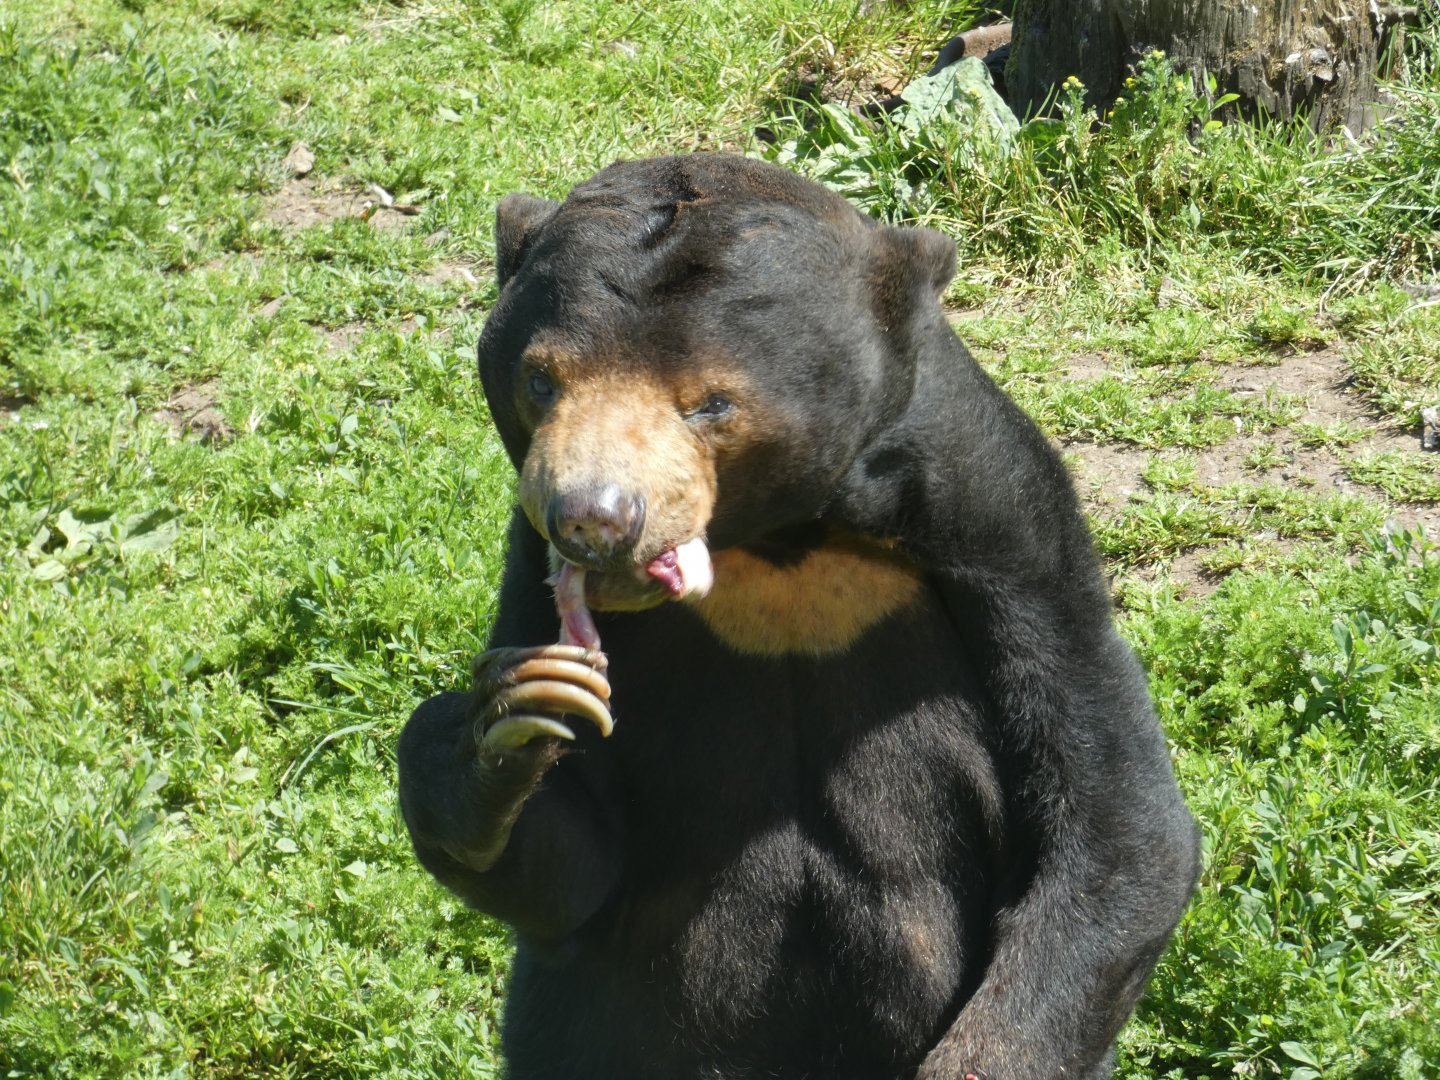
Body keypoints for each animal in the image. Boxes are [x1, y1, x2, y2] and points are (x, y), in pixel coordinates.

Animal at [397, 153, 1200, 1080]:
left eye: (711, 403)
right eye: (539, 379)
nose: (593, 519)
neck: (780, 546)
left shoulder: (1003, 527)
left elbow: (1117, 824)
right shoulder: (528, 559)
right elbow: (573, 869)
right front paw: (515, 714)